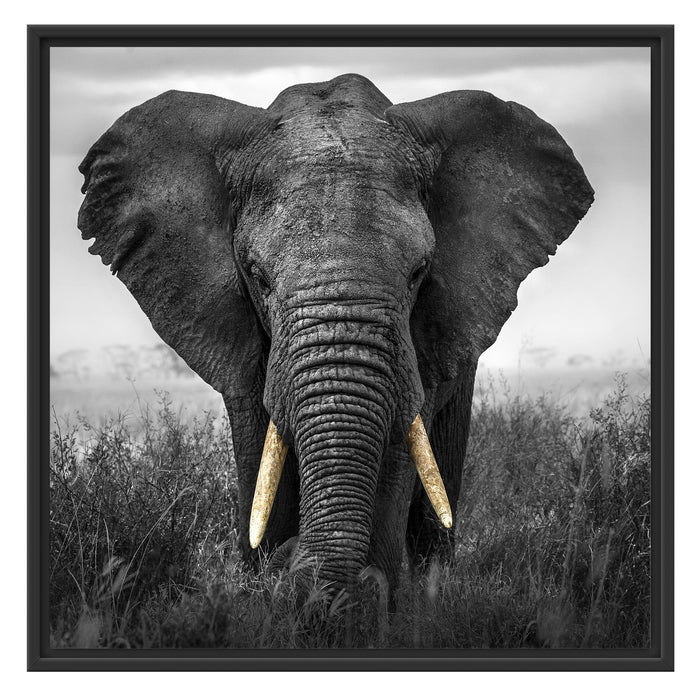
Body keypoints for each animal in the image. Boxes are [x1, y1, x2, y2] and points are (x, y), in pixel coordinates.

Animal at [77, 73, 593, 599]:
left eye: (419, 273)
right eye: (258, 277)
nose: (293, 563)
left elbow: (398, 445)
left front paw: (367, 598)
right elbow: (260, 449)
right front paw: (267, 584)